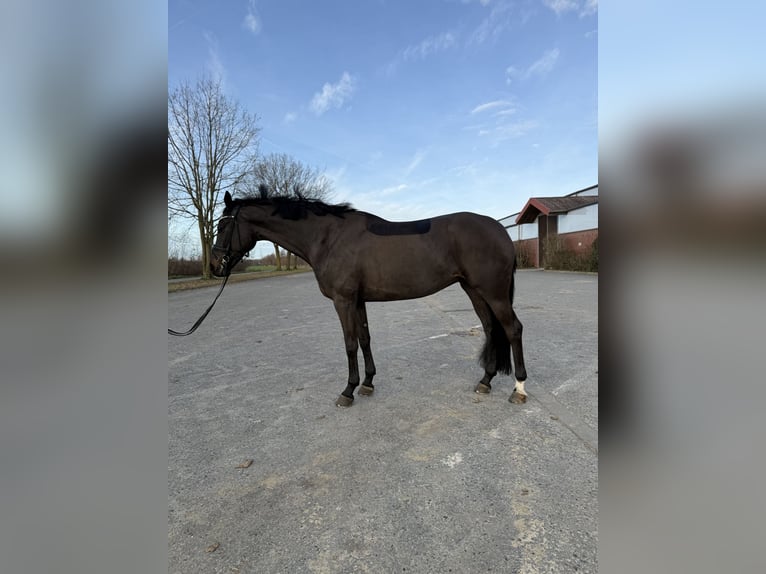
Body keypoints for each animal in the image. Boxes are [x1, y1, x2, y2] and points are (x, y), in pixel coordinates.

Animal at [210, 190, 528, 408]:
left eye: (222, 226)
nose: (215, 266)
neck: (328, 237)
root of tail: (499, 229)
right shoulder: (358, 301)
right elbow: (364, 339)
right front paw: (367, 384)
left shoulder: (343, 300)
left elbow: (350, 344)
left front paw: (348, 391)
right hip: (473, 290)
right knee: (490, 328)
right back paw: (485, 381)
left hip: (493, 292)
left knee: (513, 329)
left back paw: (519, 389)